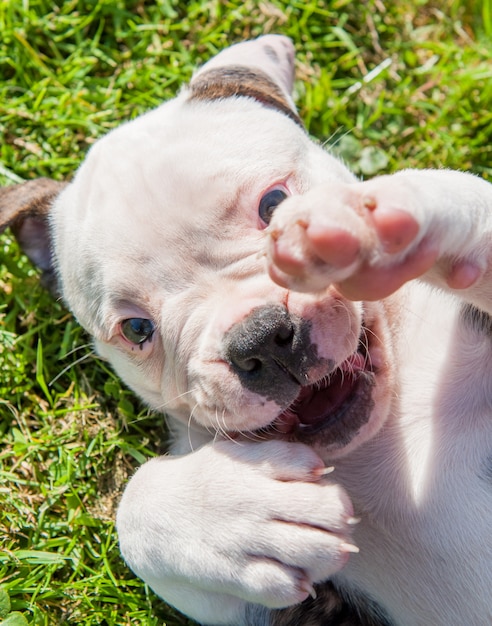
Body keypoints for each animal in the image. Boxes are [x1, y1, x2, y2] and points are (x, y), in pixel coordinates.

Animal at [2, 36, 492, 624]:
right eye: (138, 329)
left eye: (274, 204)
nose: (259, 337)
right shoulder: (270, 610)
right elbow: (133, 508)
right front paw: (245, 517)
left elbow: (468, 198)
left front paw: (388, 213)